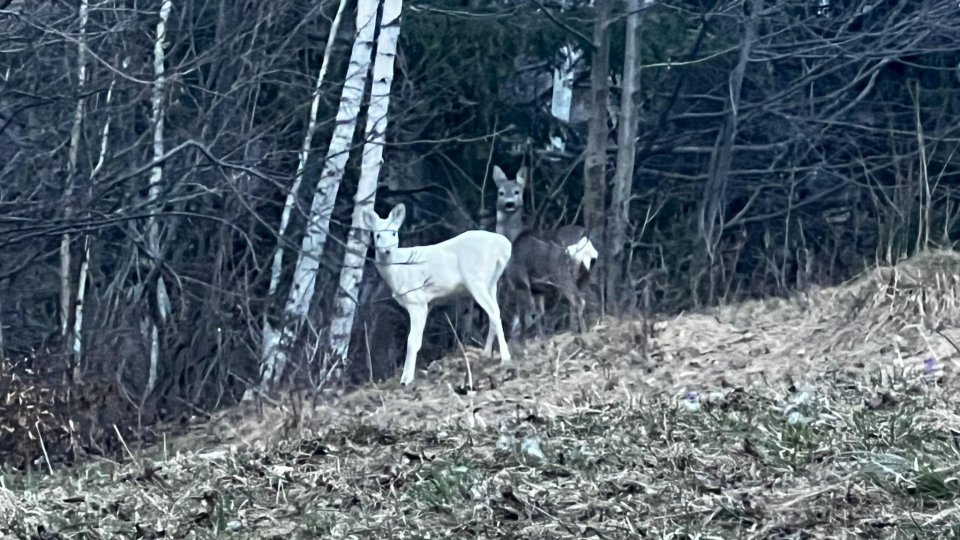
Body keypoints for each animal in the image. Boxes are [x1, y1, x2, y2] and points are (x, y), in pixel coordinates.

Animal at [360, 202, 512, 384]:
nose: (387, 250)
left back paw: (505, 357)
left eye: (393, 233)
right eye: (377, 235)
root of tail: (504, 246)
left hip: (476, 279)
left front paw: (406, 380)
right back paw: (487, 353)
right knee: (494, 312)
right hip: (490, 282)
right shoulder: (428, 303)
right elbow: (417, 340)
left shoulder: (417, 301)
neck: (398, 271)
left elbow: (412, 341)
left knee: (494, 312)